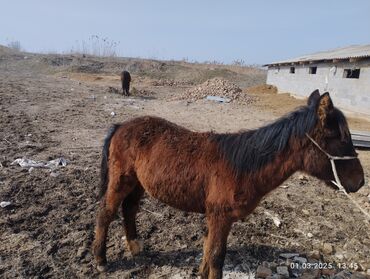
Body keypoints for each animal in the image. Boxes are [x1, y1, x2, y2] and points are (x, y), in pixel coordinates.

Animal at [92, 91, 364, 278]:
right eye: (340, 138)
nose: (360, 182)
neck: (243, 166)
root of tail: (121, 126)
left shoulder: (216, 218)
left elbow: (207, 251)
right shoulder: (220, 216)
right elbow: (216, 256)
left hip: (138, 183)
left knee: (129, 210)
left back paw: (136, 248)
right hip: (121, 180)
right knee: (106, 212)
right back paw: (101, 260)